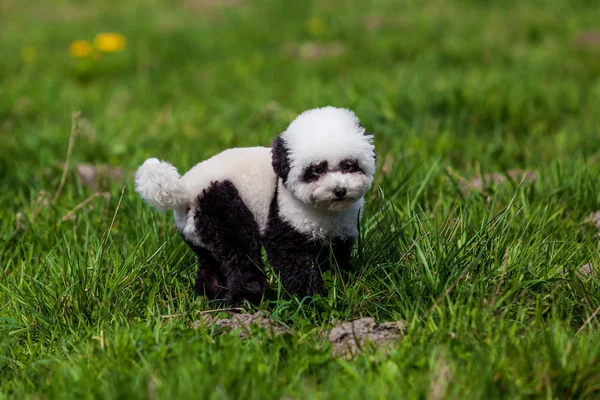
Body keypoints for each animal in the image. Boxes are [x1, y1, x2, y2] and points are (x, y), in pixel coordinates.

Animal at [136, 104, 376, 304]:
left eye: (349, 165)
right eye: (316, 169)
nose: (339, 190)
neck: (325, 211)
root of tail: (184, 190)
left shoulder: (342, 229)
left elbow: (335, 258)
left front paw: (341, 284)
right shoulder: (285, 213)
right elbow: (288, 255)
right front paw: (311, 299)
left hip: (198, 228)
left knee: (210, 261)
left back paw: (216, 295)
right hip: (221, 204)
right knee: (241, 252)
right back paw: (248, 301)